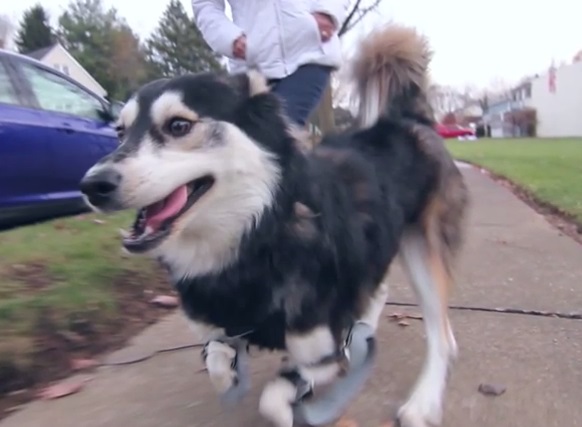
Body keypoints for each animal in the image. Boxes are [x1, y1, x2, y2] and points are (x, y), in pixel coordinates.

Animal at [81, 25, 470, 427]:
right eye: (120, 132)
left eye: (178, 125)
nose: (92, 185)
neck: (258, 236)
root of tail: (409, 121)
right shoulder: (222, 331)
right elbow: (218, 362)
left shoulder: (321, 347)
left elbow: (275, 396)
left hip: (425, 253)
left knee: (442, 336)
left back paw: (422, 401)